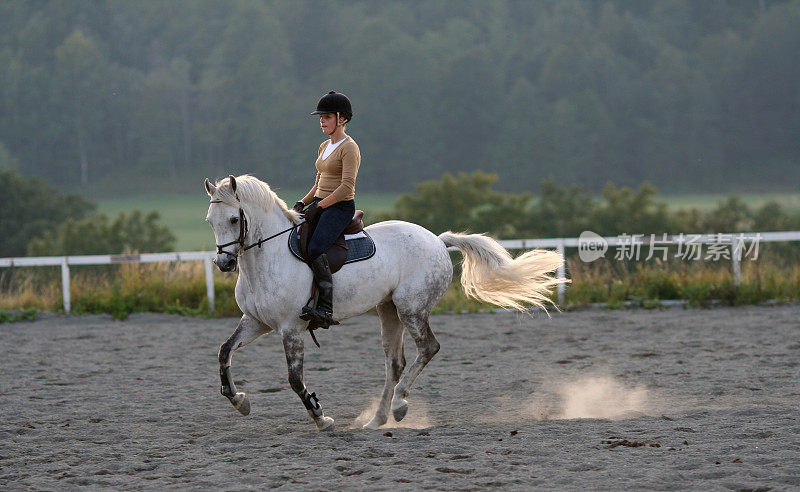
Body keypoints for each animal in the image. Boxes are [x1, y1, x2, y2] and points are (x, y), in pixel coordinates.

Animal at [206, 175, 568, 428]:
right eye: (210, 221)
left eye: (235, 220)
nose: (223, 263)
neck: (267, 258)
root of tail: (437, 240)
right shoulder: (257, 322)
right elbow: (224, 351)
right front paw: (239, 401)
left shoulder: (290, 327)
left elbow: (295, 380)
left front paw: (322, 417)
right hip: (388, 309)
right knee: (395, 363)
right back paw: (376, 419)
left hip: (411, 308)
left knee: (428, 348)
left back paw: (400, 406)